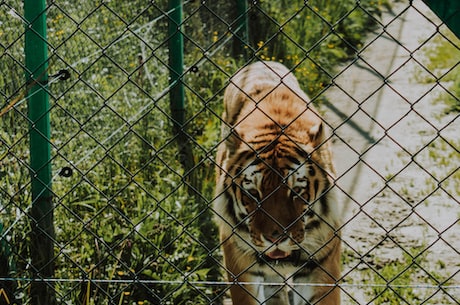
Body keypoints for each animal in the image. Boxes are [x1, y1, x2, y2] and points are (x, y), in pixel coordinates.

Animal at [213, 60, 342, 302]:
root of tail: (259, 61)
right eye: (253, 193)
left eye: (297, 191)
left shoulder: (322, 266)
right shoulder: (239, 263)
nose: (275, 238)